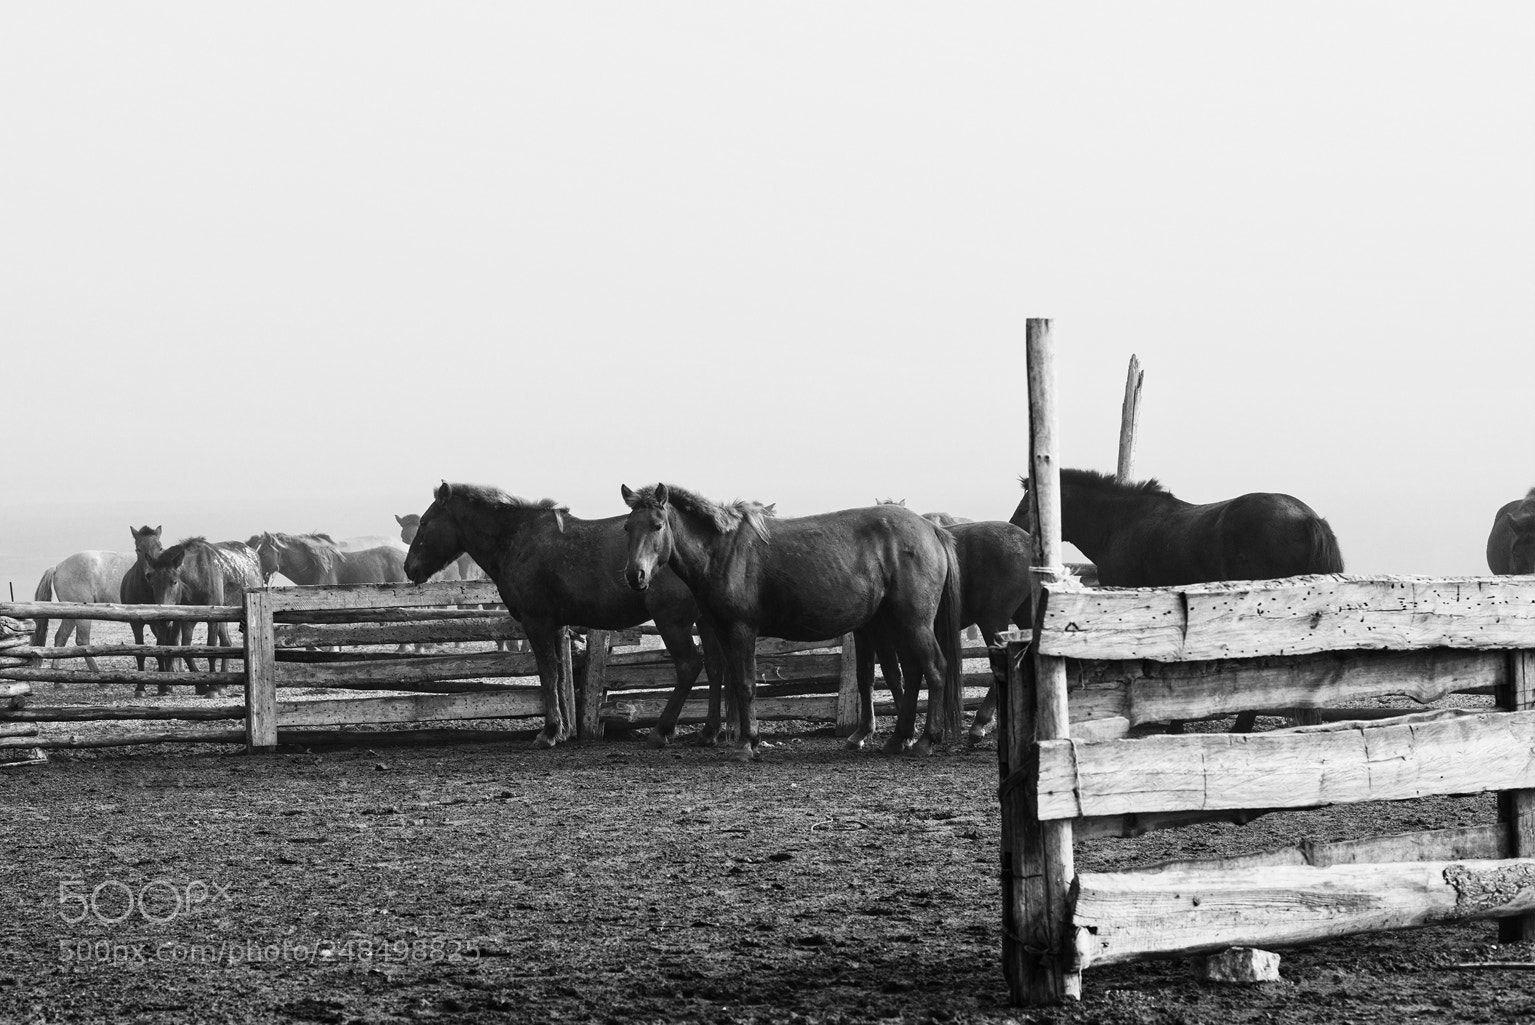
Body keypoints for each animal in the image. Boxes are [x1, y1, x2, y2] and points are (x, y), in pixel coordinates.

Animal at [142, 538, 264, 696]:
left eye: (174, 581)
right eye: (151, 582)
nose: (163, 618)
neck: (197, 576)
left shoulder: (212, 617)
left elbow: (211, 647)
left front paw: (212, 687)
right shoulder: (187, 620)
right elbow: (185, 648)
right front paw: (201, 685)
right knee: (226, 642)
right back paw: (223, 685)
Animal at [402, 482, 723, 749]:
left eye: (425, 522)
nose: (408, 567)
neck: (516, 538)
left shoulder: (537, 622)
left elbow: (547, 674)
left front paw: (549, 732)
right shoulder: (555, 625)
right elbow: (557, 677)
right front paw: (563, 729)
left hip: (672, 621)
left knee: (689, 665)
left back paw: (663, 730)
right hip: (704, 621)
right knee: (715, 666)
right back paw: (709, 732)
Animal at [622, 483, 964, 761]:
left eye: (657, 525)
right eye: (627, 527)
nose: (635, 575)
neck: (723, 551)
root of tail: (931, 529)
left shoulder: (742, 630)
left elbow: (745, 684)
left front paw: (746, 743)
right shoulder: (722, 631)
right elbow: (734, 681)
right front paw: (748, 738)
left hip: (914, 623)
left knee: (935, 669)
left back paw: (926, 740)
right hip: (898, 624)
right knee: (913, 673)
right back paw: (899, 738)